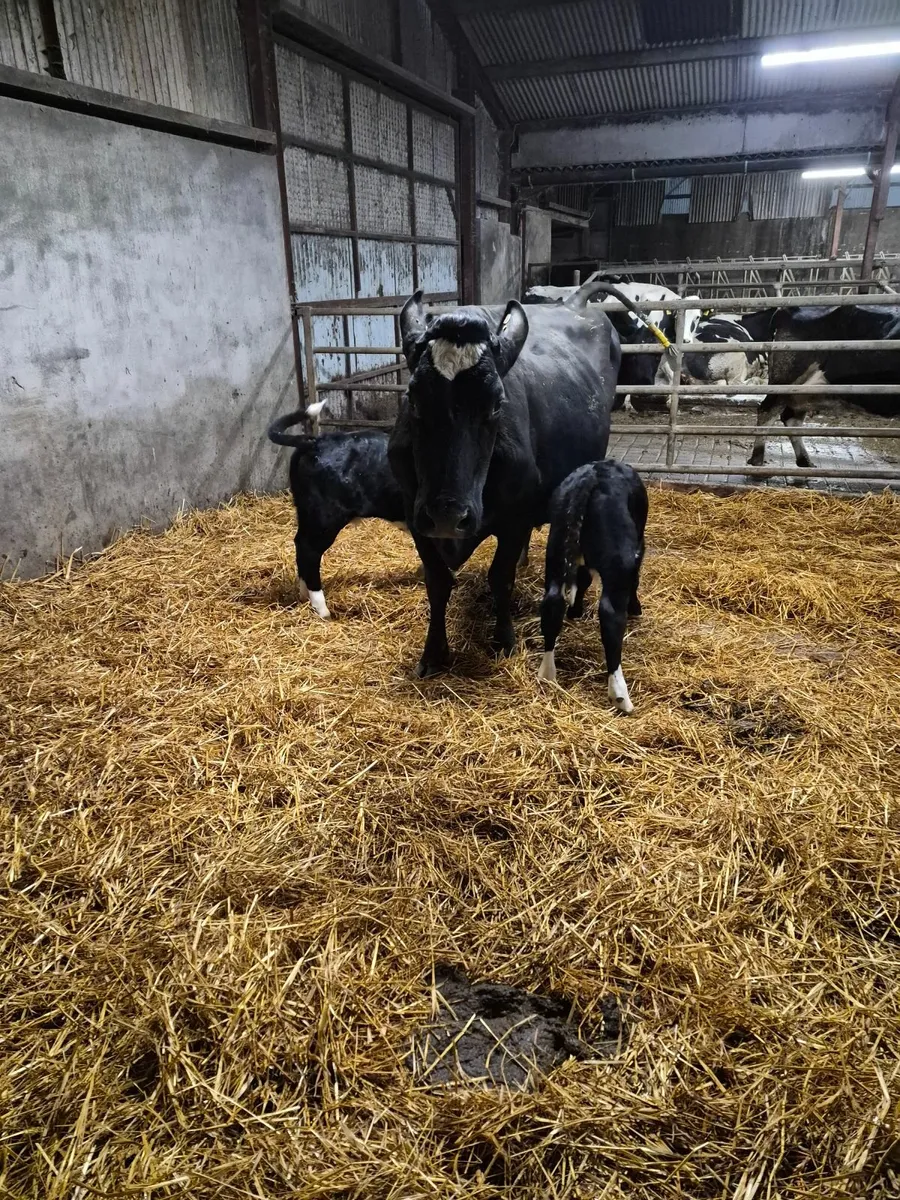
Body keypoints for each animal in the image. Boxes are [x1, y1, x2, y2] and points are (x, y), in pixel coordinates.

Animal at [267, 411, 466, 618]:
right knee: (309, 551)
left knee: (300, 546)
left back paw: (304, 596)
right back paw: (323, 611)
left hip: (308, 514)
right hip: (325, 517)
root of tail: (314, 442)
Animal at [387, 284, 621, 678]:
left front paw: (504, 640)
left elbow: (501, 576)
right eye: (414, 400)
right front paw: (433, 652)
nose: (448, 515)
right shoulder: (414, 512)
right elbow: (437, 582)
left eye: (497, 404)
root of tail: (576, 300)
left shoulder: (516, 518)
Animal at [538, 460, 648, 714]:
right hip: (618, 563)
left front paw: (576, 611)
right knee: (610, 616)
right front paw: (636, 608)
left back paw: (547, 674)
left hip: (555, 551)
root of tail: (592, 477)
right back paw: (620, 696)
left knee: (552, 604)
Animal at [748, 304, 900, 470]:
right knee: (767, 411)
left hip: (805, 392)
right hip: (787, 379)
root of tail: (788, 310)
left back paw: (805, 461)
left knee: (790, 418)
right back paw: (757, 460)